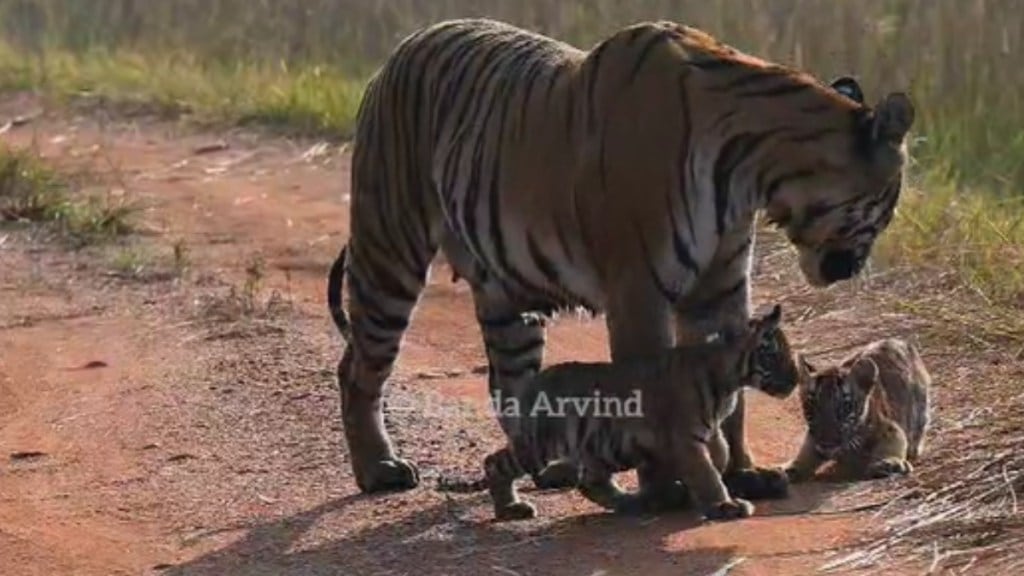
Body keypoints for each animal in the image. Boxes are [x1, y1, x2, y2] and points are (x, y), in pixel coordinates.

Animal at [325, 17, 913, 494]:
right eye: (889, 204)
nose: (856, 268)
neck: (755, 170)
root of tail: (403, 47)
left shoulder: (721, 285)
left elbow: (735, 397)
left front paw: (743, 473)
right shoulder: (638, 285)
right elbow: (653, 385)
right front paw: (669, 487)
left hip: (506, 296)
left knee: (510, 385)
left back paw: (548, 466)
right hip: (389, 251)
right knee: (358, 368)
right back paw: (380, 469)